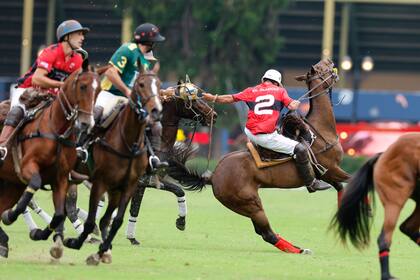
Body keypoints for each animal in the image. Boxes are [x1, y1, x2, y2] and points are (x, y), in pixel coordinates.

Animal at [0, 60, 99, 260]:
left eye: (98, 89)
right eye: (83, 86)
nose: (86, 123)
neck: (57, 129)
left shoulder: (60, 179)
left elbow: (60, 214)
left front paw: (42, 235)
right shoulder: (27, 167)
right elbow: (35, 185)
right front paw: (11, 216)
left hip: (11, 184)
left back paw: (3, 243)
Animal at [63, 63, 163, 264]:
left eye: (159, 84)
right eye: (141, 84)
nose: (156, 110)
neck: (128, 143)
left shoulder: (128, 186)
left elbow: (115, 220)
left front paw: (102, 250)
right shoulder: (100, 182)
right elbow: (91, 221)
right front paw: (76, 242)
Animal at [166, 59, 350, 254]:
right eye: (322, 68)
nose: (330, 61)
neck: (319, 130)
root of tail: (212, 176)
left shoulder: (327, 174)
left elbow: (341, 188)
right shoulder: (332, 169)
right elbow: (349, 180)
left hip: (245, 204)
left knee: (263, 232)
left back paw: (297, 248)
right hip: (251, 203)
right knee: (267, 233)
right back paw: (298, 250)